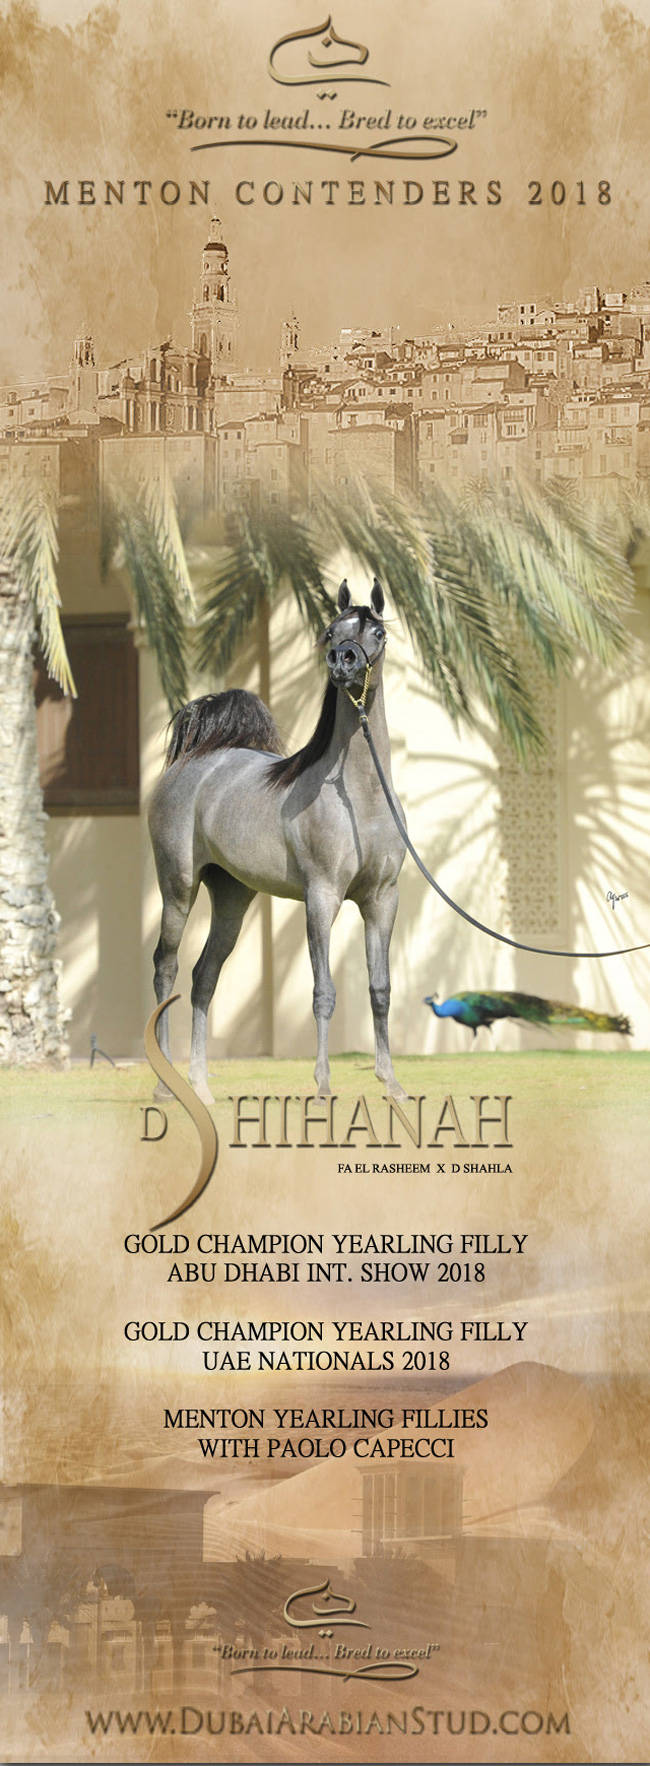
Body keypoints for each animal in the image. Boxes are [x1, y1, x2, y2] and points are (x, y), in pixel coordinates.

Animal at [148, 578, 407, 1103]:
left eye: (377, 633)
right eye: (331, 630)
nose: (342, 661)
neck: (359, 799)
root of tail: (195, 758)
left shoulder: (381, 899)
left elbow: (380, 989)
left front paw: (391, 1084)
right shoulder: (322, 897)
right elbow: (323, 992)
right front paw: (323, 1086)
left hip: (232, 896)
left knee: (204, 976)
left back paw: (200, 1086)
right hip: (177, 889)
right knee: (166, 968)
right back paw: (167, 1088)